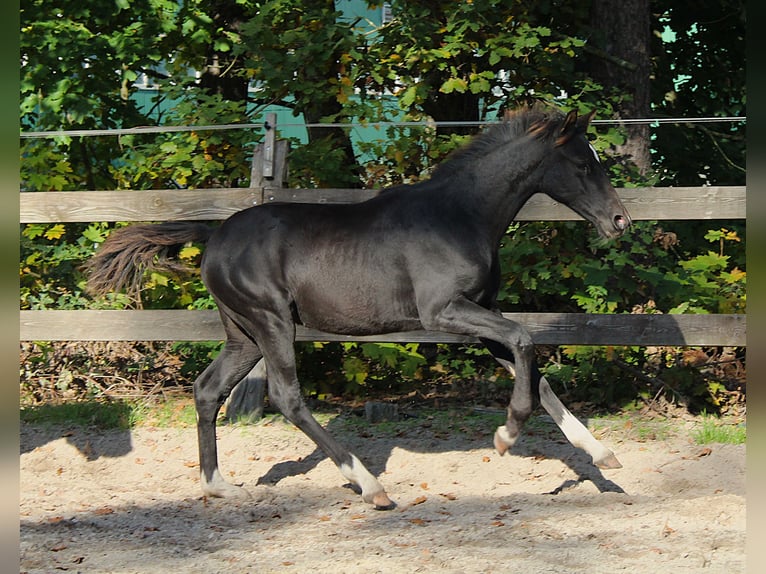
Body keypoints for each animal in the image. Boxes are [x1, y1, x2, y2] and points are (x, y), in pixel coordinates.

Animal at [87, 107, 632, 508]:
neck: (459, 215)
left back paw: (218, 484)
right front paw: (507, 434)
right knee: (286, 397)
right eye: (583, 165)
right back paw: (371, 486)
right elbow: (525, 340)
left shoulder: (477, 316)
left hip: (243, 334)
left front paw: (603, 455)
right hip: (271, 321)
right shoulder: (443, 311)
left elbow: (534, 371)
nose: (620, 221)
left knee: (207, 390)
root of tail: (214, 233)